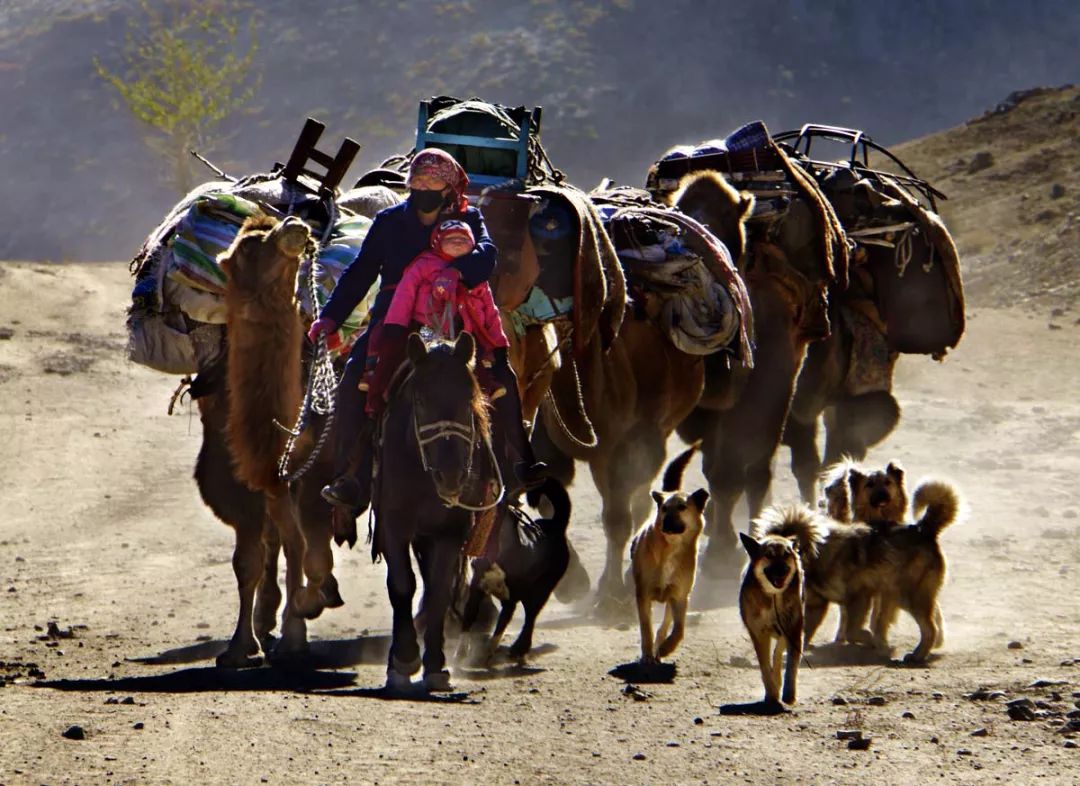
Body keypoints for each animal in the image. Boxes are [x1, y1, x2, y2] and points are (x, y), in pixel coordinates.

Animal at [371, 332, 496, 695]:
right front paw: (404, 660)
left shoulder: (450, 531)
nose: (451, 476)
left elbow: (439, 590)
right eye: (421, 400)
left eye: (469, 400)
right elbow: (402, 584)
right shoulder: (393, 524)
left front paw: (436, 664)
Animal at [626, 442, 708, 665]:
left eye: (682, 507)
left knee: (665, 625)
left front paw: (665, 648)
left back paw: (660, 647)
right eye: (663, 509)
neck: (670, 549)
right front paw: (647, 654)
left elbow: (678, 629)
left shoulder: (679, 596)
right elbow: (646, 629)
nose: (667, 523)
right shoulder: (643, 595)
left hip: (672, 600)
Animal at [669, 171, 846, 578]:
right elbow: (717, 470)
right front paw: (719, 543)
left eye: (723, 224)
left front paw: (721, 553)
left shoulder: (760, 399)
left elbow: (732, 471)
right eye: (679, 213)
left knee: (766, 468)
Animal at [734, 516, 812, 708]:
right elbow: (764, 666)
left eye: (786, 554)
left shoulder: (793, 630)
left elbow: (790, 666)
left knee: (778, 655)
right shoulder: (758, 633)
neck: (773, 596)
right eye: (768, 555)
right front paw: (771, 695)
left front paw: (788, 694)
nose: (782, 570)